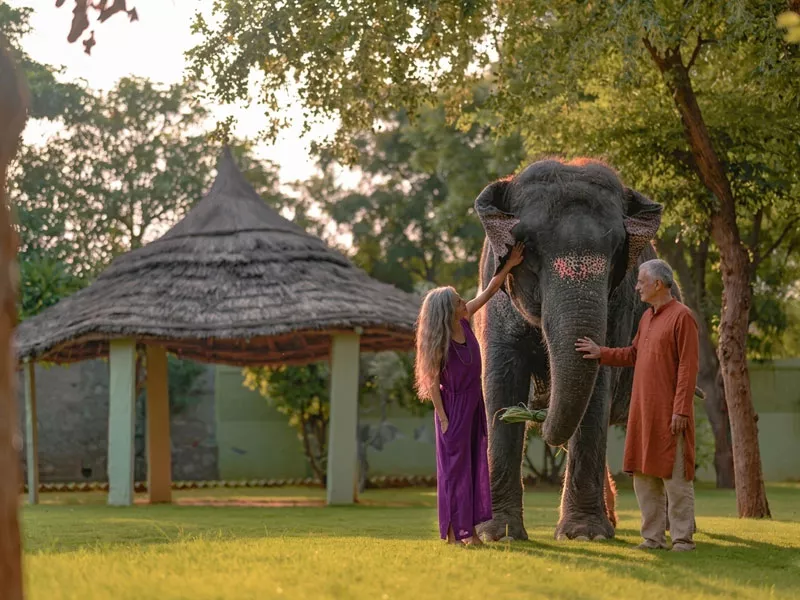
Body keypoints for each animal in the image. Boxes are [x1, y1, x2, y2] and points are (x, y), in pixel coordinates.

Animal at [472, 158, 665, 542]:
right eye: (527, 247)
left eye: (618, 249)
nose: (538, 413)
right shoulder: (494, 295)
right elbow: (499, 384)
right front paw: (496, 534)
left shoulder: (619, 305)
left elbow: (597, 385)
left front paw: (585, 535)